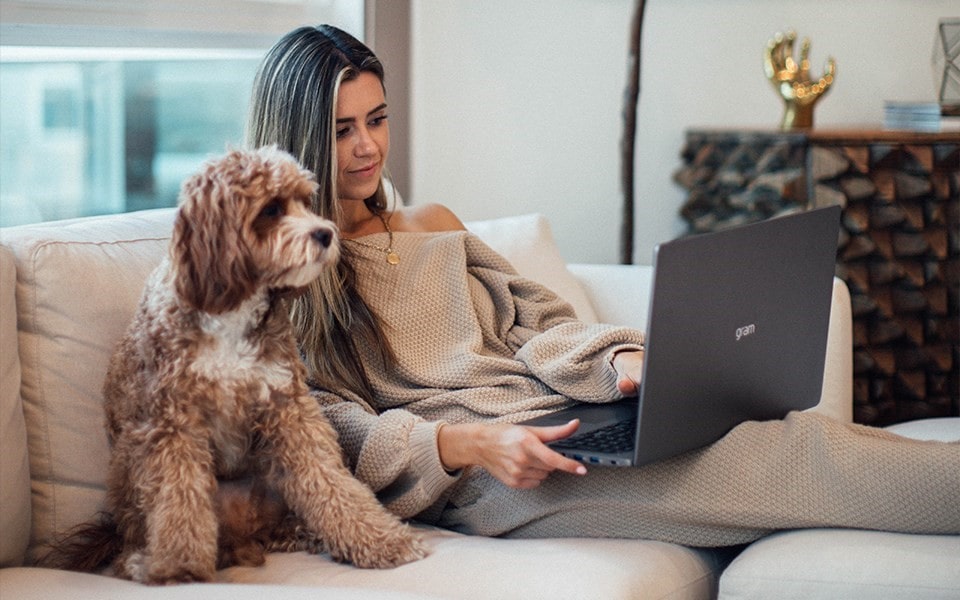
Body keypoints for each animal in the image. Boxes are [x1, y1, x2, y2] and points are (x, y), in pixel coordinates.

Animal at [45, 148, 428, 584]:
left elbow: (330, 480)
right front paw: (180, 568)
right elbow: (179, 499)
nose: (326, 234)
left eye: (305, 201)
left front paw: (381, 540)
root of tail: (245, 536)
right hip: (129, 470)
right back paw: (144, 561)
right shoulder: (172, 423)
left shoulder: (289, 409)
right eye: (272, 208)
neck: (231, 312)